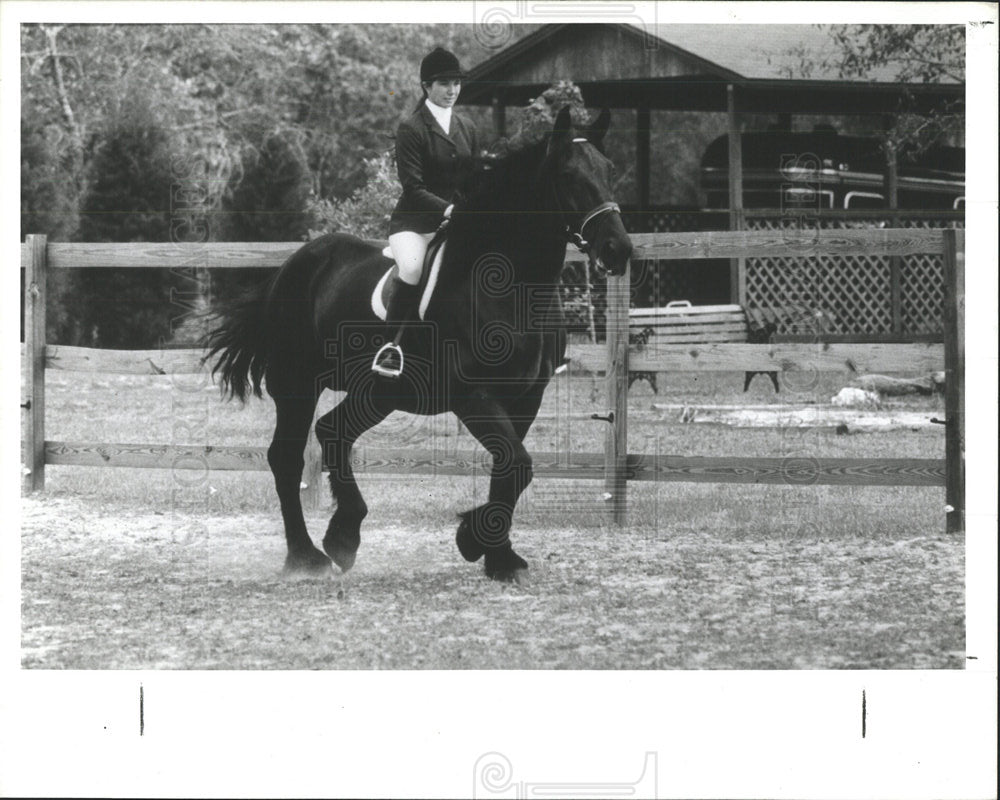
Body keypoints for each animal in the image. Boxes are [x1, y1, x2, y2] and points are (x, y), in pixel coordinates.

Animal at [203, 108, 632, 580]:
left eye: (609, 170)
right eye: (569, 175)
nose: (619, 250)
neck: (511, 288)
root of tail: (293, 264)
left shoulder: (526, 396)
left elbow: (509, 470)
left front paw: (496, 554)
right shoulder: (474, 395)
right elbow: (518, 465)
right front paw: (476, 543)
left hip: (379, 392)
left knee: (333, 430)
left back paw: (343, 536)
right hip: (297, 385)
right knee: (287, 458)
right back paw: (307, 555)